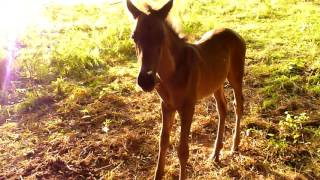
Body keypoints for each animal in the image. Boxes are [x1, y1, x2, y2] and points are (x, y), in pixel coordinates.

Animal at [126, 0, 246, 179]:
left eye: (162, 36)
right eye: (134, 36)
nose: (146, 81)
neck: (172, 74)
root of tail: (235, 33)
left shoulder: (188, 106)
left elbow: (183, 150)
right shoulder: (166, 105)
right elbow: (163, 141)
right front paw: (158, 174)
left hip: (236, 77)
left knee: (238, 105)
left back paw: (234, 145)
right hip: (216, 83)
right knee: (222, 108)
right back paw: (216, 153)